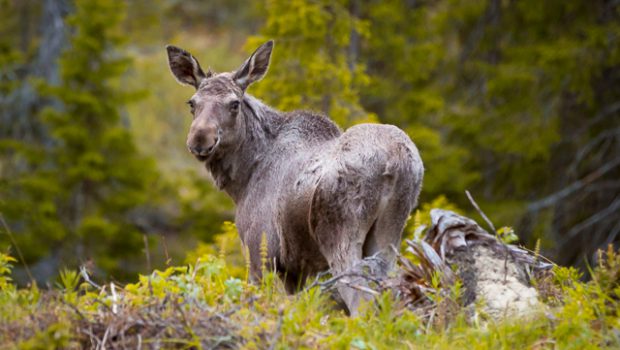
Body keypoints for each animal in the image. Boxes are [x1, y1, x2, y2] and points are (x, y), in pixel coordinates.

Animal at [167, 40, 424, 314]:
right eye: (192, 103)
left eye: (234, 103)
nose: (200, 138)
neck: (243, 179)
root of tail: (397, 161)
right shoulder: (296, 269)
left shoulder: (260, 251)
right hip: (389, 235)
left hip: (340, 237)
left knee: (360, 302)